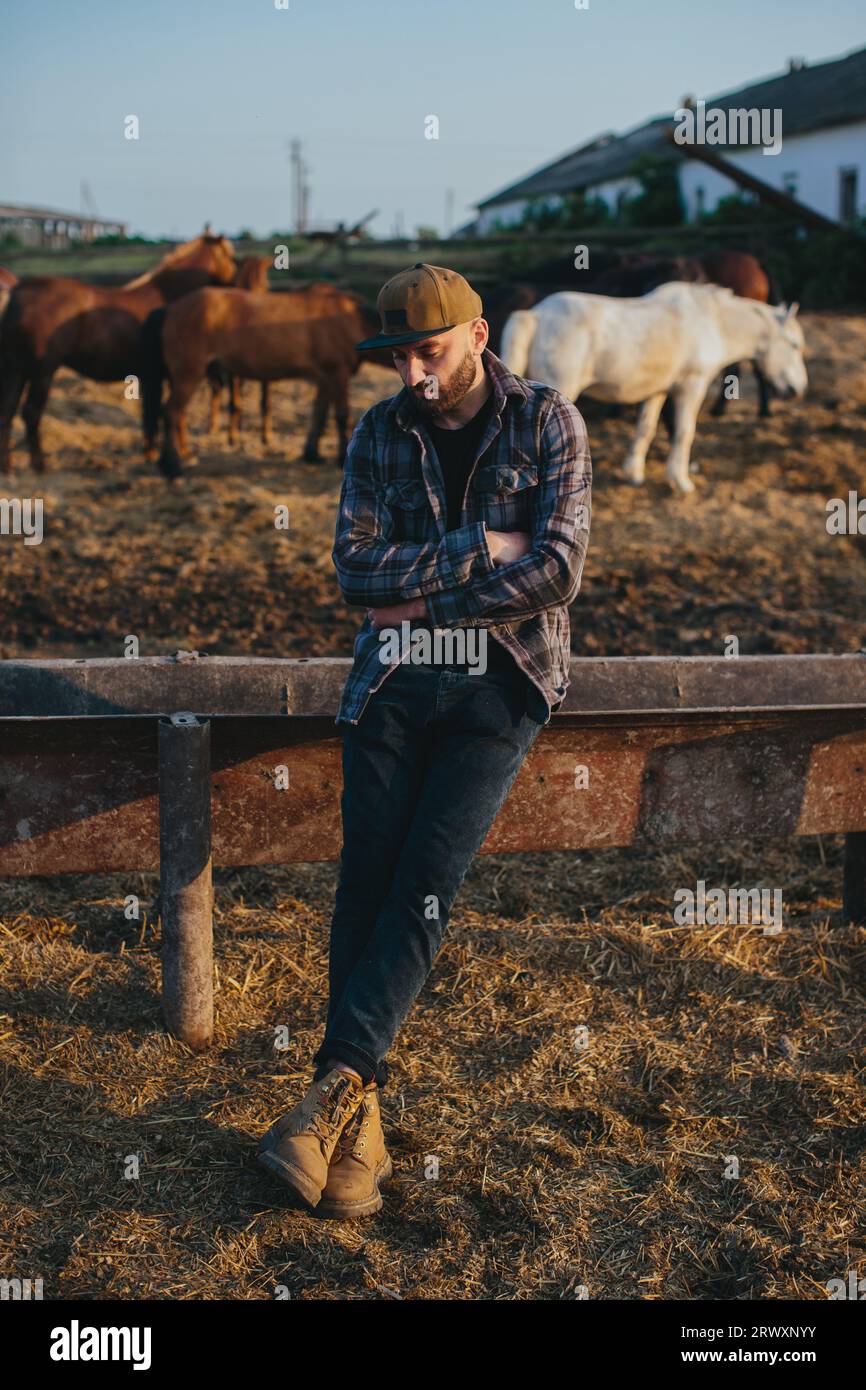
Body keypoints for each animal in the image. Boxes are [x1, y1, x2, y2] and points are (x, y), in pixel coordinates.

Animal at [0, 233, 237, 478]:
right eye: (231, 256)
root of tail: (17, 291)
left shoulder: (152, 376)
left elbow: (150, 413)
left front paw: (151, 454)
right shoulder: (174, 376)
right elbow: (174, 414)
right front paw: (185, 455)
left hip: (15, 369)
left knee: (6, 412)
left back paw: (7, 467)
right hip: (42, 371)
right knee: (30, 413)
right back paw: (39, 465)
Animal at [143, 282, 380, 478]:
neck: (348, 318)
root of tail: (171, 308)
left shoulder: (325, 379)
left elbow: (319, 414)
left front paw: (312, 454)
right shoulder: (337, 373)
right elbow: (342, 416)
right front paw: (340, 459)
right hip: (188, 376)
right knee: (171, 412)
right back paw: (172, 466)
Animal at [497, 279, 811, 492]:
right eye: (794, 345)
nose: (798, 389)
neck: (710, 321)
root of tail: (536, 315)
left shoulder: (658, 390)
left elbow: (646, 428)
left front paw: (634, 473)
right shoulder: (691, 387)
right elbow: (684, 432)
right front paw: (680, 481)